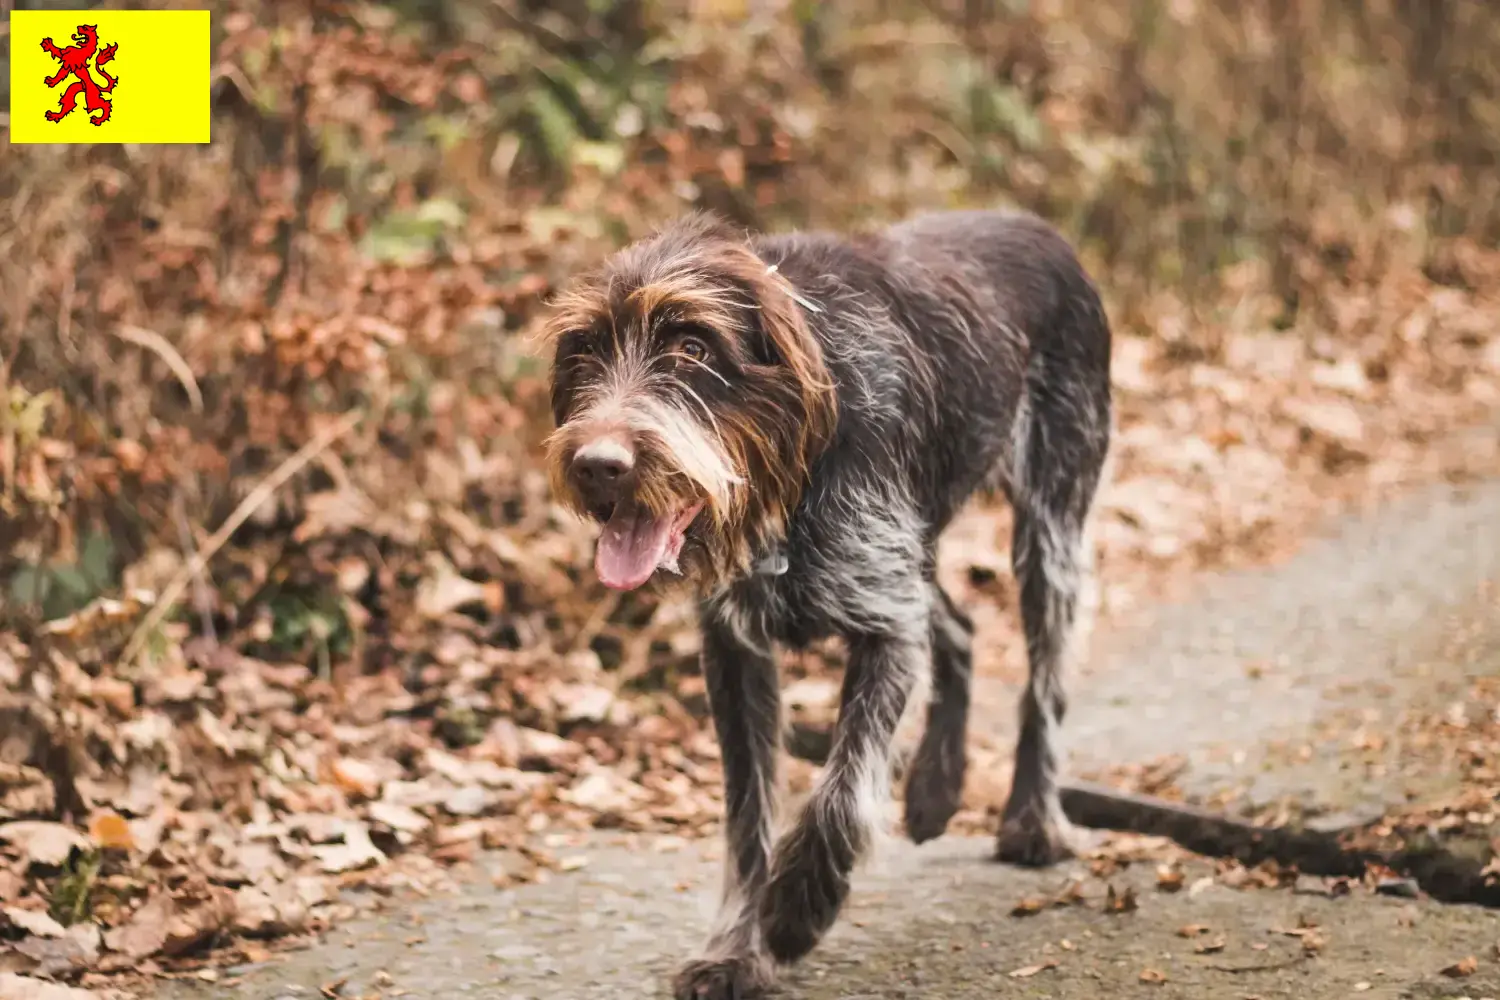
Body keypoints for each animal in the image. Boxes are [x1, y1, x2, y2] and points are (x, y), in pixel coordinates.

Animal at [546, 206, 1110, 995]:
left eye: (692, 347)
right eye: (586, 352)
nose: (598, 466)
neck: (790, 474)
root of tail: (1039, 227)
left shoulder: (884, 625)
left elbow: (842, 792)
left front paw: (796, 908)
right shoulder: (735, 650)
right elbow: (747, 818)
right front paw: (735, 950)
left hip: (1050, 526)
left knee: (1044, 682)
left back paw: (1032, 819)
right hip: (915, 549)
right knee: (959, 628)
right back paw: (936, 788)